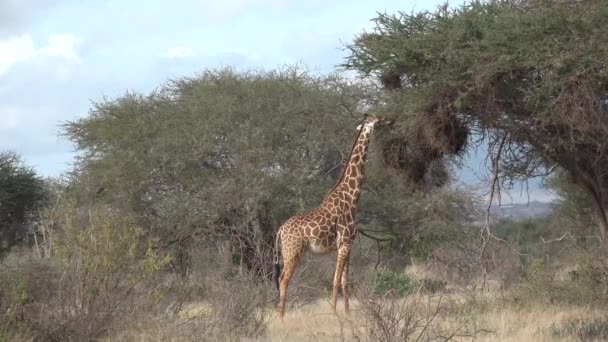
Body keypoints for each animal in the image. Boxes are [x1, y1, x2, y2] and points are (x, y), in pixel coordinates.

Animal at [274, 113, 392, 318]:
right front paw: (334, 313)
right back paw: (281, 318)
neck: (351, 197)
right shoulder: (344, 243)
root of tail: (280, 230)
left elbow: (345, 282)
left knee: (282, 279)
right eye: (379, 120)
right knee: (283, 280)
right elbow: (336, 281)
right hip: (292, 251)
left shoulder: (348, 246)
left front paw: (347, 313)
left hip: (289, 252)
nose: (391, 121)